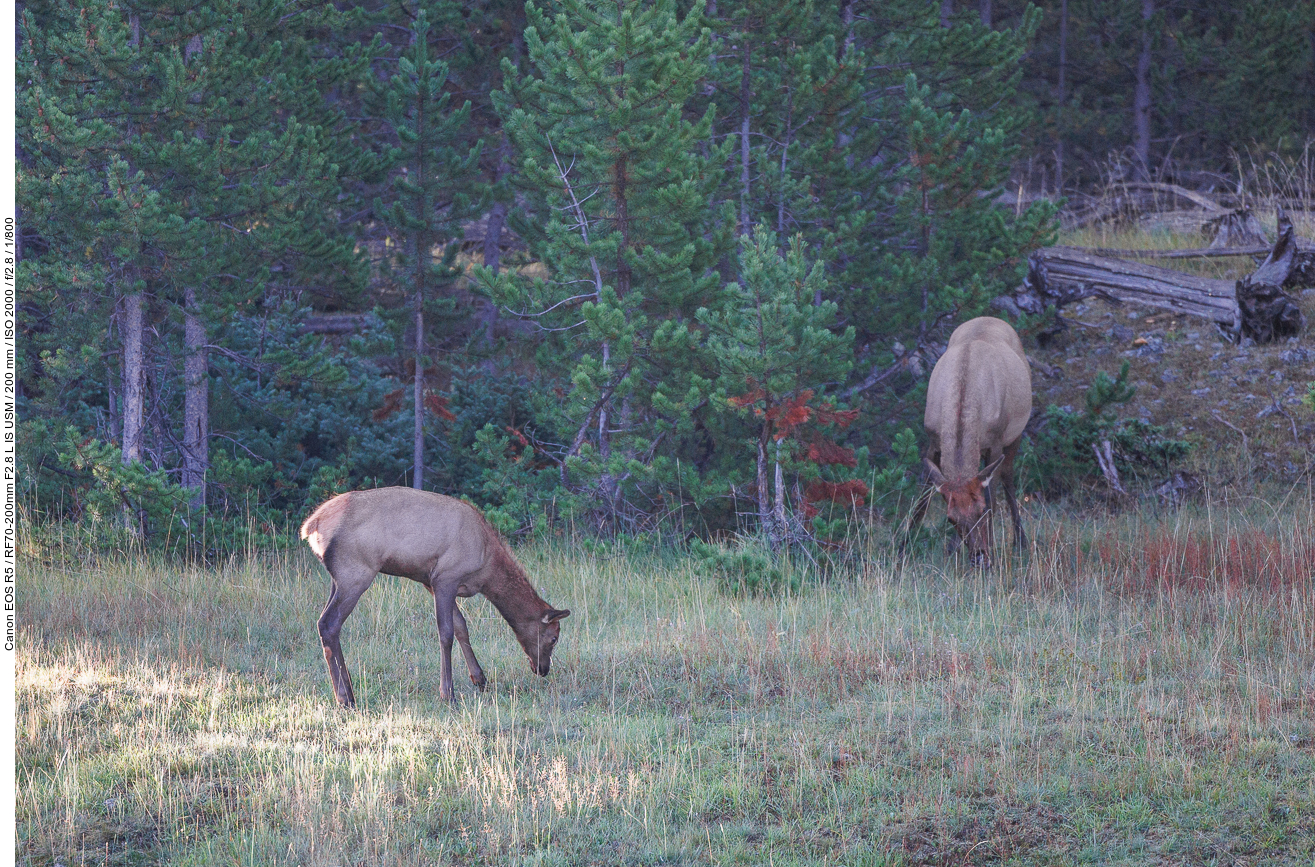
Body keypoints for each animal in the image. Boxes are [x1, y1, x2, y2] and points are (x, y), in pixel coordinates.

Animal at [302, 484, 570, 710]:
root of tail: (311, 526)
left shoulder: (431, 581)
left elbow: (462, 627)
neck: (487, 569)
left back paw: (349, 691)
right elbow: (446, 633)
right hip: (356, 573)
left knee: (328, 625)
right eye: (554, 637)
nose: (543, 669)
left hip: (338, 579)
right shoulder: (445, 578)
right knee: (328, 623)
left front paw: (480, 679)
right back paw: (344, 698)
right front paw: (447, 693)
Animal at [909, 315, 1030, 565]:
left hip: (1015, 434)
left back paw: (1020, 541)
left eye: (981, 511)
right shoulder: (933, 439)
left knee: (1009, 478)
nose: (980, 557)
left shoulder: (996, 442)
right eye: (950, 519)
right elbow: (923, 498)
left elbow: (993, 499)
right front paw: (903, 547)